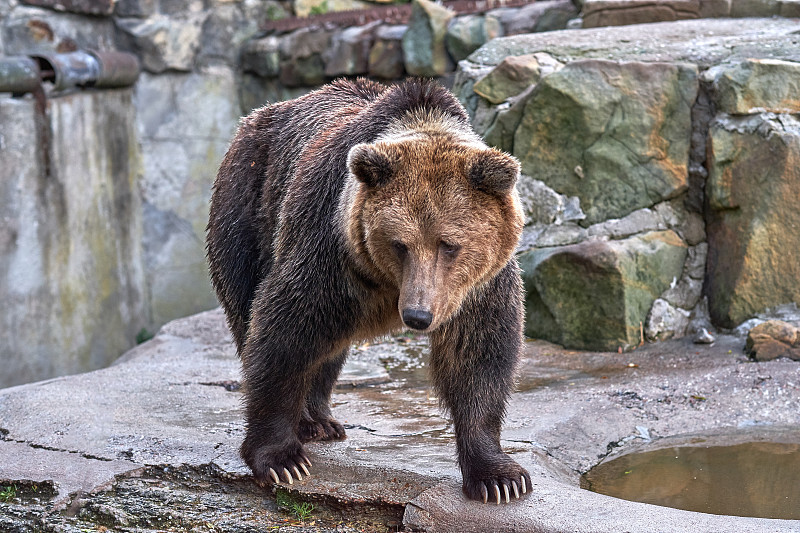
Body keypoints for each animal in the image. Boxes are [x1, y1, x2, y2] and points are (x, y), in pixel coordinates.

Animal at [206, 78, 532, 502]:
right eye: (400, 244)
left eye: (449, 244)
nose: (417, 315)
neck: (386, 284)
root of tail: (258, 116)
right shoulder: (330, 248)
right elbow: (284, 332)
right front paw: (281, 460)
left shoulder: (478, 286)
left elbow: (479, 356)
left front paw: (500, 478)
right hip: (245, 211)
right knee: (255, 313)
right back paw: (309, 422)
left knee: (329, 350)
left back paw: (320, 420)